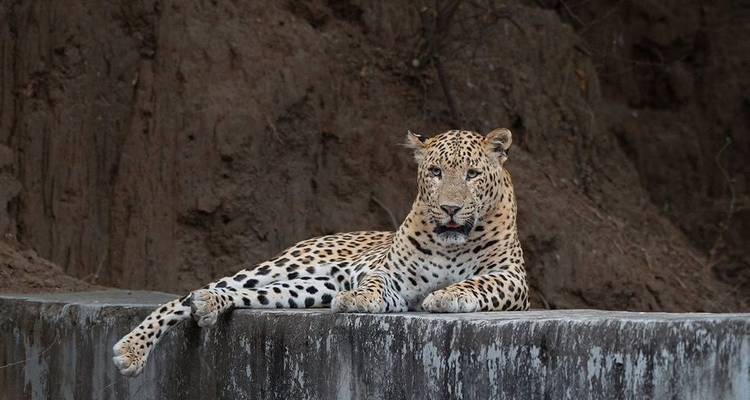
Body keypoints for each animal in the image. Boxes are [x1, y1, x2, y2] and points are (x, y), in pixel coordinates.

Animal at [112, 128, 529, 377]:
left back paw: (209, 305)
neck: (450, 244)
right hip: (284, 264)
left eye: (473, 174)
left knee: (240, 294)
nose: (450, 209)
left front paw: (446, 295)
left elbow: (477, 284)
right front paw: (359, 298)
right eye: (436, 172)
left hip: (310, 287)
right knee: (194, 294)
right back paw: (133, 348)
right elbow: (375, 282)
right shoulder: (391, 276)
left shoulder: (513, 280)